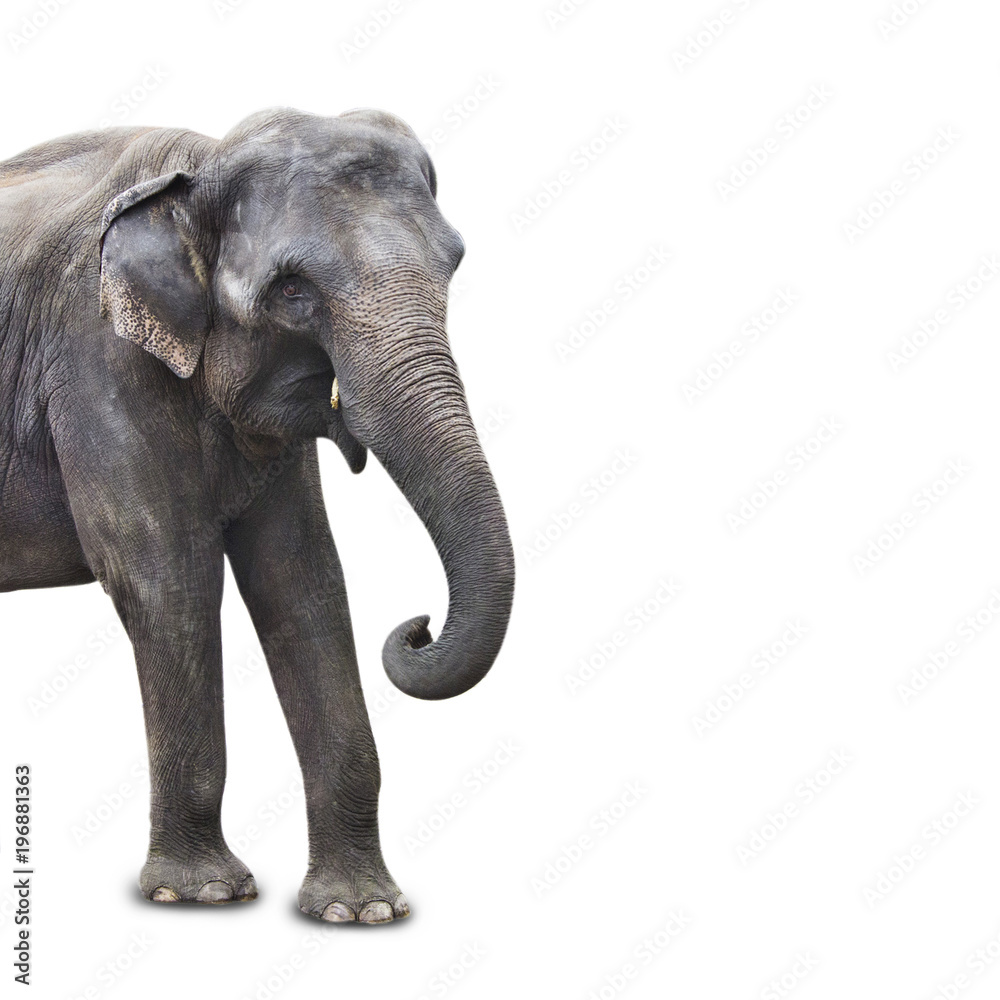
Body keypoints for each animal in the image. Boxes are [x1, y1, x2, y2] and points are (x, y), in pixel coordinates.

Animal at [0, 107, 515, 923]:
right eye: (292, 290)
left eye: (454, 265)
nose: (418, 627)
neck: (196, 168)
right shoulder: (95, 360)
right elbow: (167, 579)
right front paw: (203, 893)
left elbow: (303, 582)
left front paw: (361, 911)